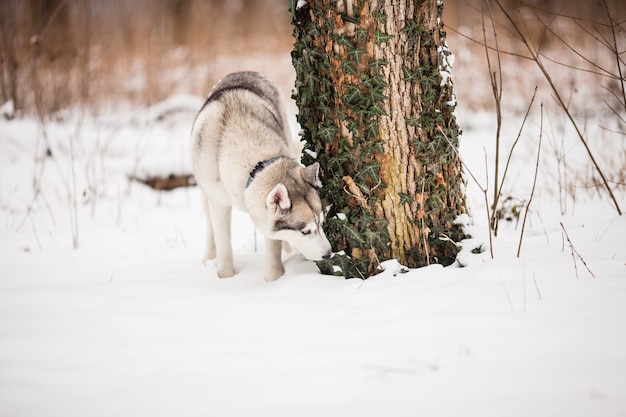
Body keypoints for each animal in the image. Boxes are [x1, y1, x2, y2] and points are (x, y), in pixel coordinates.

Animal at [190, 71, 332, 282]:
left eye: (321, 224)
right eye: (305, 231)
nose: (329, 254)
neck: (255, 165)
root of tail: (243, 72)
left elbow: (273, 249)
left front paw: (275, 280)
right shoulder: (219, 203)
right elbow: (223, 244)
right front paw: (226, 278)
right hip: (205, 193)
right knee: (210, 228)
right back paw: (208, 258)